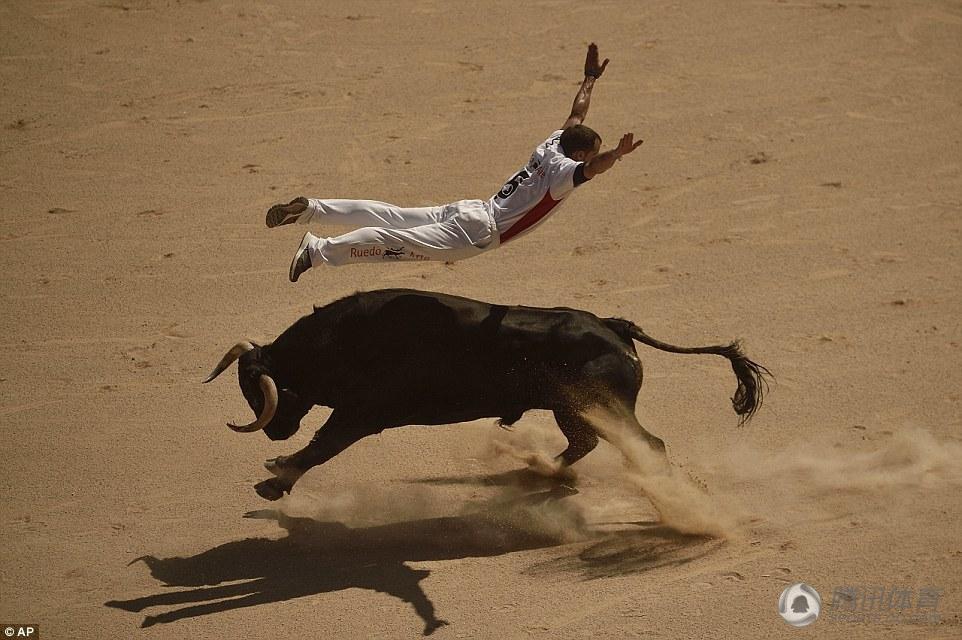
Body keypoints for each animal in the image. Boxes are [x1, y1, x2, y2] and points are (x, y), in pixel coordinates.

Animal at [202, 288, 764, 502]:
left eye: (262, 393)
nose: (275, 432)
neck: (341, 342)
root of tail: (613, 325)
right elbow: (321, 445)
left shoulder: (362, 413)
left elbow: (322, 446)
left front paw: (275, 481)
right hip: (573, 410)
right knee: (583, 444)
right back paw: (539, 471)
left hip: (600, 406)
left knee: (646, 444)